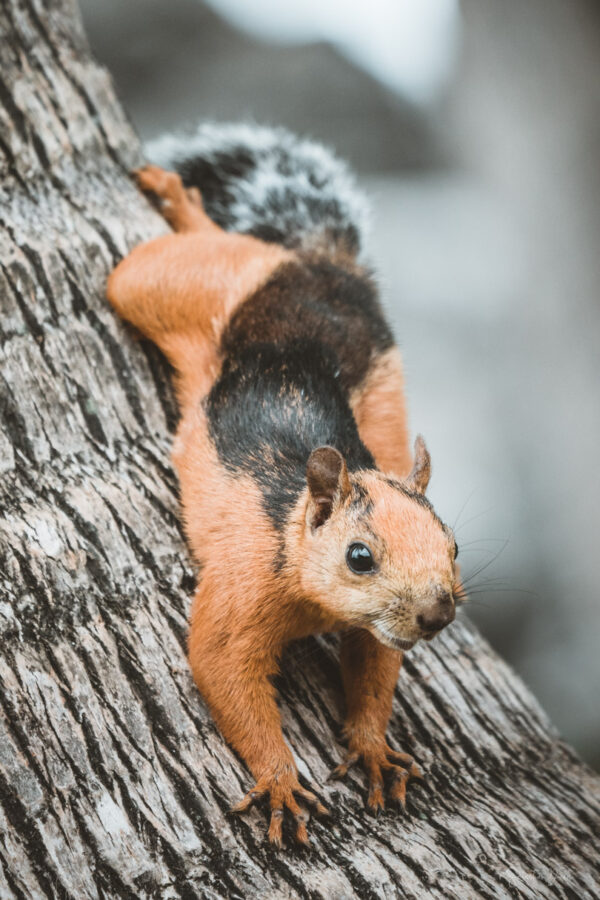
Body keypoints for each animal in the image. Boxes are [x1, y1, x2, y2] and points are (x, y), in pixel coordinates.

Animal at [108, 126, 462, 852]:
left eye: (454, 548)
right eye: (360, 556)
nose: (438, 614)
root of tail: (325, 268)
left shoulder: (374, 631)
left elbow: (375, 670)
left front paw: (373, 748)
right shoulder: (244, 578)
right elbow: (221, 665)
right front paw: (278, 780)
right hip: (179, 283)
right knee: (172, 260)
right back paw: (178, 201)